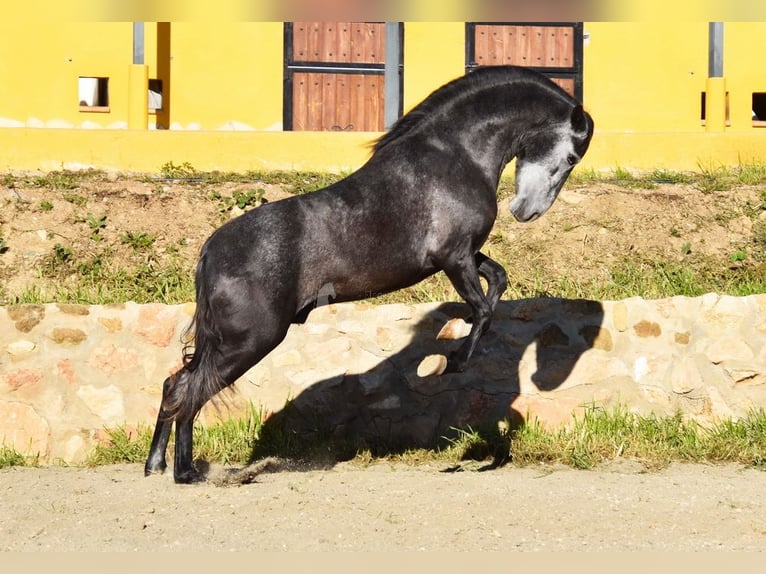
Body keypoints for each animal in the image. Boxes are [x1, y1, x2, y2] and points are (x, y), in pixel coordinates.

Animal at [147, 65, 596, 484]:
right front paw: (451, 362)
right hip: (249, 341)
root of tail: (211, 250)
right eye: (572, 158)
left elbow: (498, 280)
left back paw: (158, 465)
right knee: (189, 390)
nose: (527, 212)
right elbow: (484, 309)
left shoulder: (463, 255)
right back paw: (184, 472)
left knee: (176, 384)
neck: (455, 155)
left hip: (225, 341)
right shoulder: (454, 257)